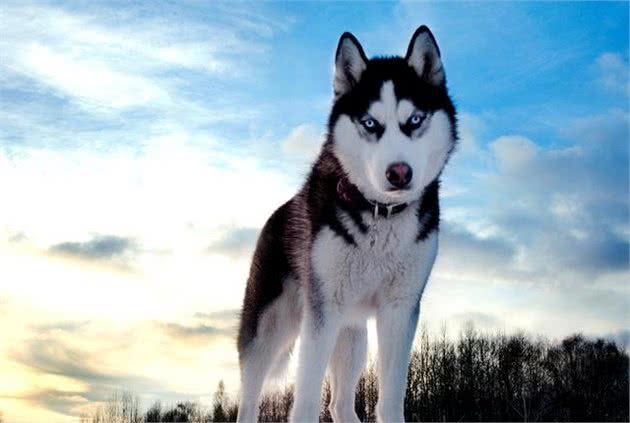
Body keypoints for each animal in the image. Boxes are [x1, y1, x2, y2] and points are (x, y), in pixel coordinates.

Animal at [237, 27, 460, 423]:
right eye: (370, 123)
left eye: (415, 120)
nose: (399, 173)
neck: (380, 213)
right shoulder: (322, 312)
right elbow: (305, 401)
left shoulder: (400, 310)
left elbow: (391, 398)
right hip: (269, 329)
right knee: (249, 399)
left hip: (353, 336)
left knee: (339, 403)